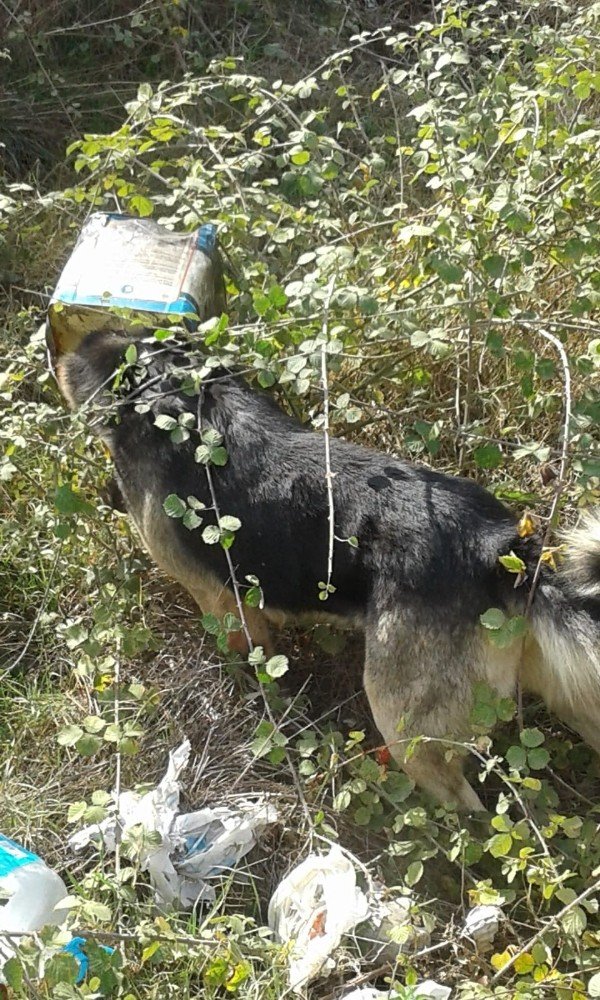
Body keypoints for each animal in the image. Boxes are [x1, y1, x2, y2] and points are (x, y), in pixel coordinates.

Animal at [54, 328, 600, 812]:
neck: (173, 388)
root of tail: (498, 548)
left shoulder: (224, 604)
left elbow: (248, 659)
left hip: (405, 726)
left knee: (465, 809)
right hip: (566, 692)